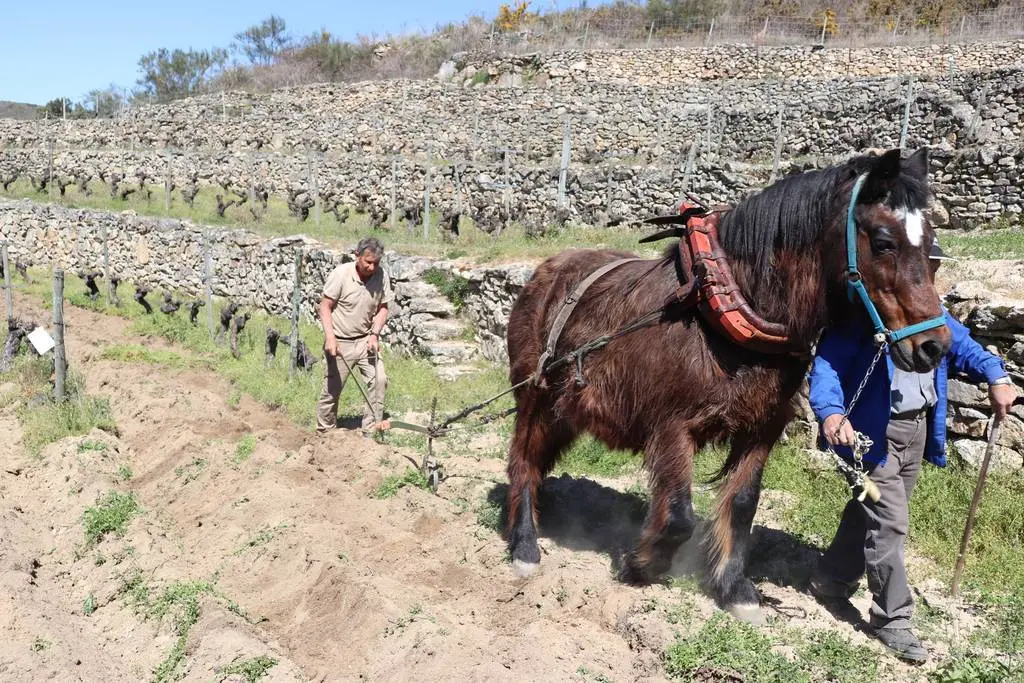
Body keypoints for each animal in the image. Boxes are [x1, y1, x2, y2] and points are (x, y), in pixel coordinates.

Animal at [504, 148, 951, 624]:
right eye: (884, 242)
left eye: (931, 247)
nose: (934, 347)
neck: (724, 312)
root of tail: (546, 269)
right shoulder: (671, 428)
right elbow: (679, 515)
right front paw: (640, 564)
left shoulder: (761, 429)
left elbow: (743, 503)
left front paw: (734, 588)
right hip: (533, 396)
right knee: (523, 461)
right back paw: (525, 546)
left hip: (564, 410)